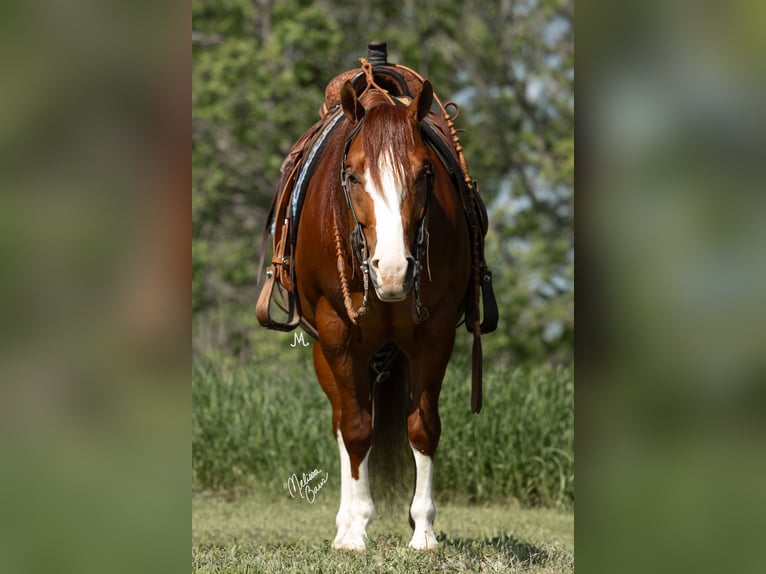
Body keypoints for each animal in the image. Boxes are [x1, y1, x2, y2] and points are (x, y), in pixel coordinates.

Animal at [294, 81, 474, 552]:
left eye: (425, 173)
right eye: (353, 176)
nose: (393, 270)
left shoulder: (435, 335)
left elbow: (423, 427)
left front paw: (423, 531)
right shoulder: (337, 336)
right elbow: (357, 429)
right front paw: (356, 530)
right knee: (343, 423)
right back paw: (345, 523)